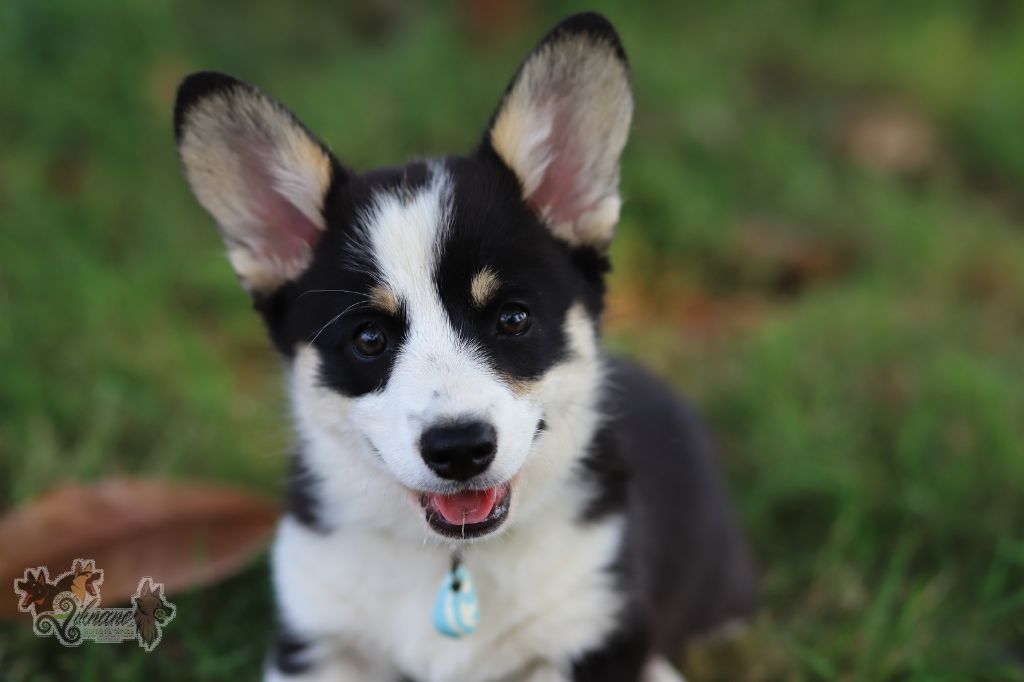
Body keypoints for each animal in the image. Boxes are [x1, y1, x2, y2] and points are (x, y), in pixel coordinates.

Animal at [173, 12, 756, 682]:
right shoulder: (316, 641)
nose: (458, 451)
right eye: (369, 338)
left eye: (513, 319)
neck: (449, 562)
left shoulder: (593, 630)